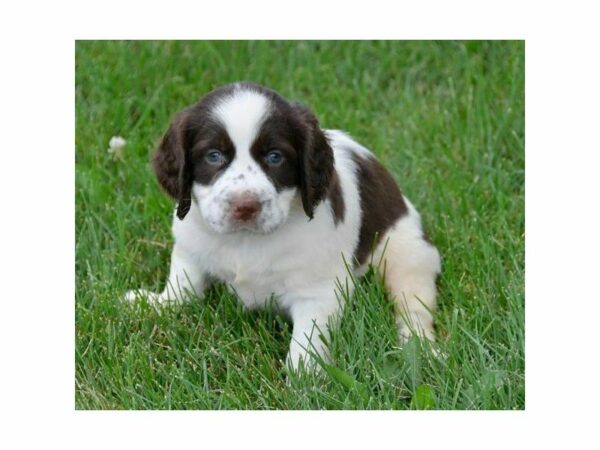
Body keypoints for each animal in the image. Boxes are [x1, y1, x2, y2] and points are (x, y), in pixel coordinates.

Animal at [124, 81, 440, 370]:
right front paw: (155, 304)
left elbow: (308, 339)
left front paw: (302, 378)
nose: (245, 206)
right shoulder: (190, 246)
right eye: (213, 156)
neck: (245, 240)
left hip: (410, 254)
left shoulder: (319, 291)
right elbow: (182, 286)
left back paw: (420, 347)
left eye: (275, 157)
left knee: (412, 304)